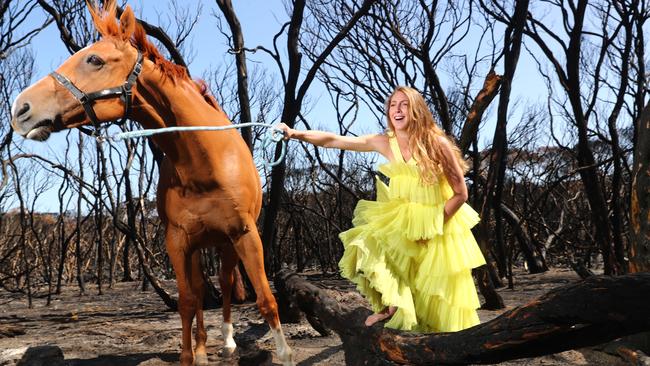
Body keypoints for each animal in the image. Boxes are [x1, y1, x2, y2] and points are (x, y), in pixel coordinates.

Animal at [9, 2, 294, 366]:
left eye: (94, 60)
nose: (20, 109)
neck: (204, 162)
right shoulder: (178, 240)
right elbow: (187, 302)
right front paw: (191, 355)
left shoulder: (245, 234)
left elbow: (265, 299)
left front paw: (284, 353)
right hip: (197, 246)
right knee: (200, 292)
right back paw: (203, 348)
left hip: (227, 244)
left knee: (227, 282)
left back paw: (228, 342)